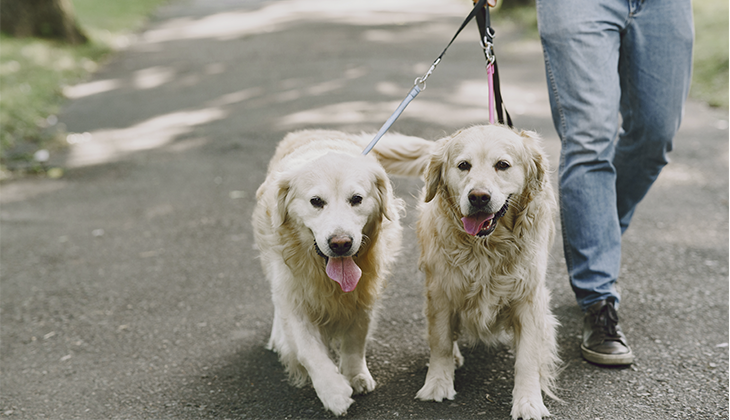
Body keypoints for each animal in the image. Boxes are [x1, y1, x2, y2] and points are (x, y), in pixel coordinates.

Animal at [252, 129, 404, 416]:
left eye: (356, 199)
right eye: (316, 202)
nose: (340, 243)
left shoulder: (363, 294)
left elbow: (355, 339)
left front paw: (356, 374)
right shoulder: (295, 297)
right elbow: (308, 350)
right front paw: (332, 391)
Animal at [370, 124, 556, 420]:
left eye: (502, 165)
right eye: (463, 165)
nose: (478, 197)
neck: (486, 248)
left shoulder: (529, 297)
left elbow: (528, 357)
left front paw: (528, 401)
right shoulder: (441, 291)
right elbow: (441, 341)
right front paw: (438, 383)